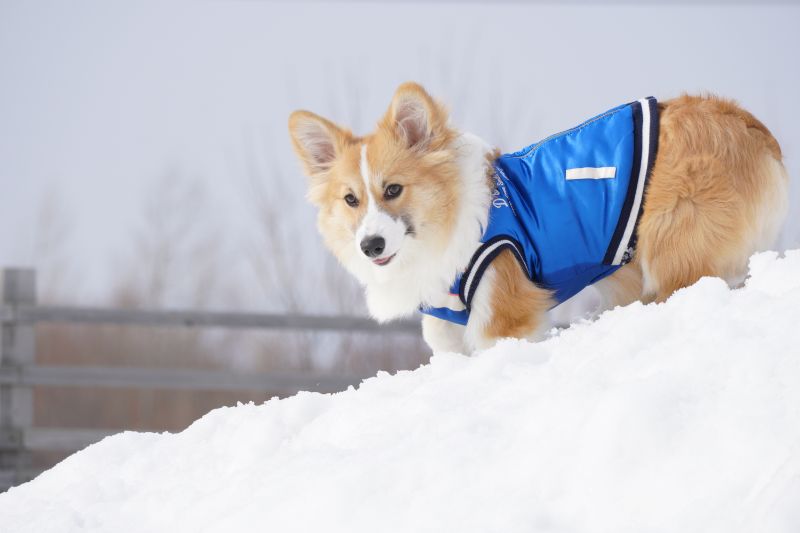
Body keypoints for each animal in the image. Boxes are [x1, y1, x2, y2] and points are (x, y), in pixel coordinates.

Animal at [290, 82, 788, 354]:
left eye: (393, 190)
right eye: (350, 200)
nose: (369, 245)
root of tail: (753, 128)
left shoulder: (503, 312)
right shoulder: (447, 331)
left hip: (673, 255)